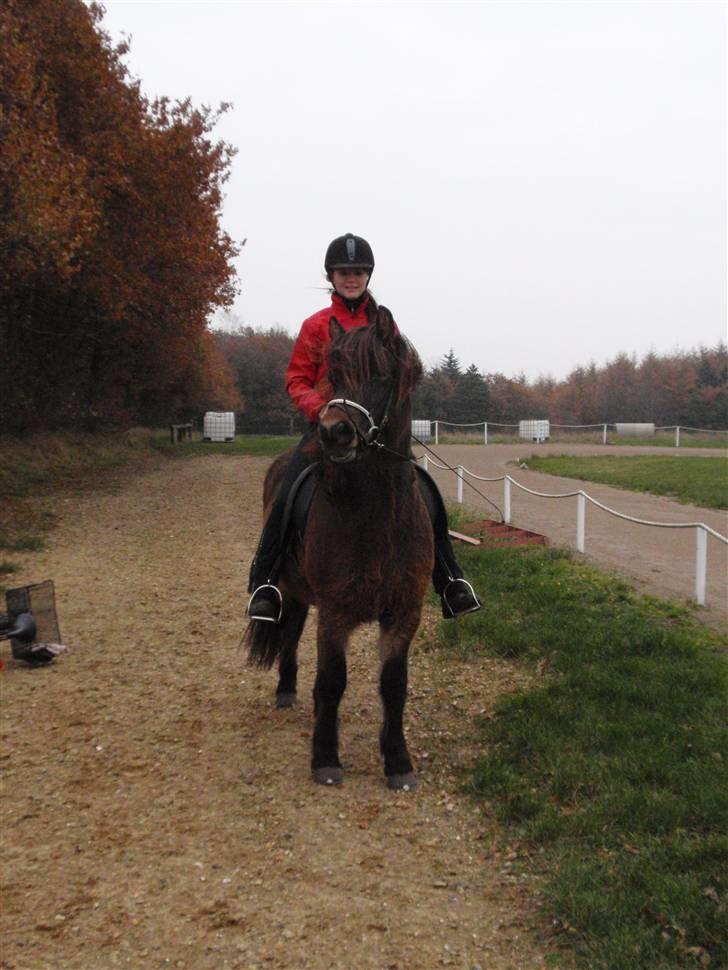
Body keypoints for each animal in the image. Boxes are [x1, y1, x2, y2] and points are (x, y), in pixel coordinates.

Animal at [247, 308, 436, 788]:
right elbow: (332, 681)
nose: (334, 433)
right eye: (332, 375)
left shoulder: (403, 613)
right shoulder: (334, 612)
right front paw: (326, 759)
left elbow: (394, 685)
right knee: (289, 634)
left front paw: (398, 761)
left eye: (382, 375)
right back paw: (286, 691)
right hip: (288, 589)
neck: (378, 516)